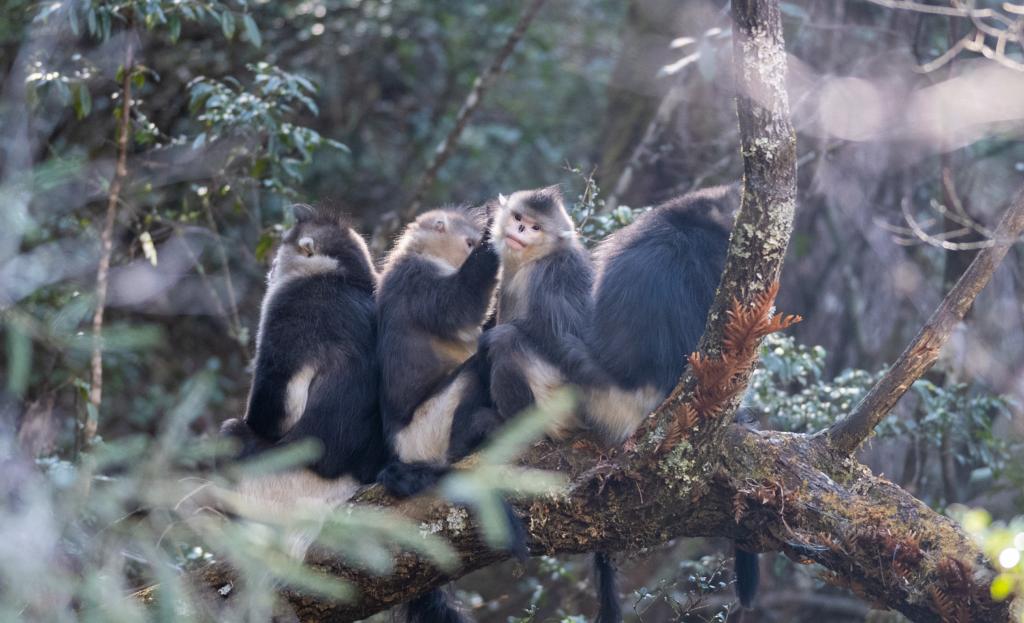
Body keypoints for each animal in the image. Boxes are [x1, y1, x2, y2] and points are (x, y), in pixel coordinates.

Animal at [220, 204, 387, 553]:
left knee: (231, 433)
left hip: (275, 488)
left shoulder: (288, 306)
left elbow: (273, 409)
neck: (342, 277)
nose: (271, 270)